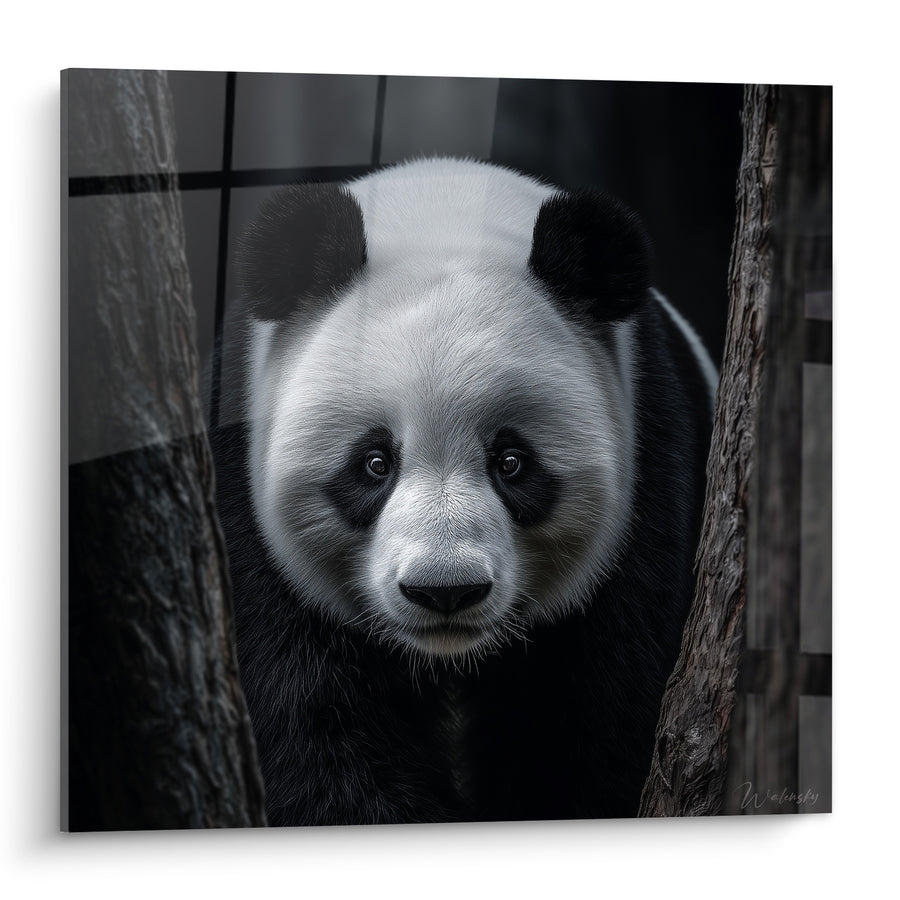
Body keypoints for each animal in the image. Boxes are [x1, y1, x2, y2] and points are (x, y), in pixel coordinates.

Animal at [208, 157, 717, 826]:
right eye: (375, 464)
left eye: (512, 463)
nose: (444, 590)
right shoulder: (242, 500)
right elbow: (311, 722)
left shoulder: (649, 472)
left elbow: (589, 720)